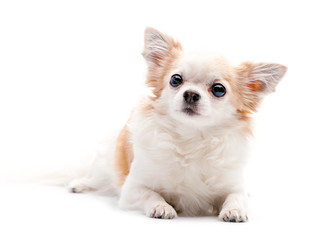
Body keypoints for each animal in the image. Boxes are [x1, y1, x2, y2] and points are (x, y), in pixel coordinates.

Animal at [68, 27, 288, 221]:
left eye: (218, 89)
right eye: (176, 80)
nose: (190, 94)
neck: (191, 138)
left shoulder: (233, 186)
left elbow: (237, 197)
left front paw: (235, 210)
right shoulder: (132, 189)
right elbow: (151, 194)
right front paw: (162, 207)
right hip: (104, 161)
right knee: (95, 177)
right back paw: (79, 184)